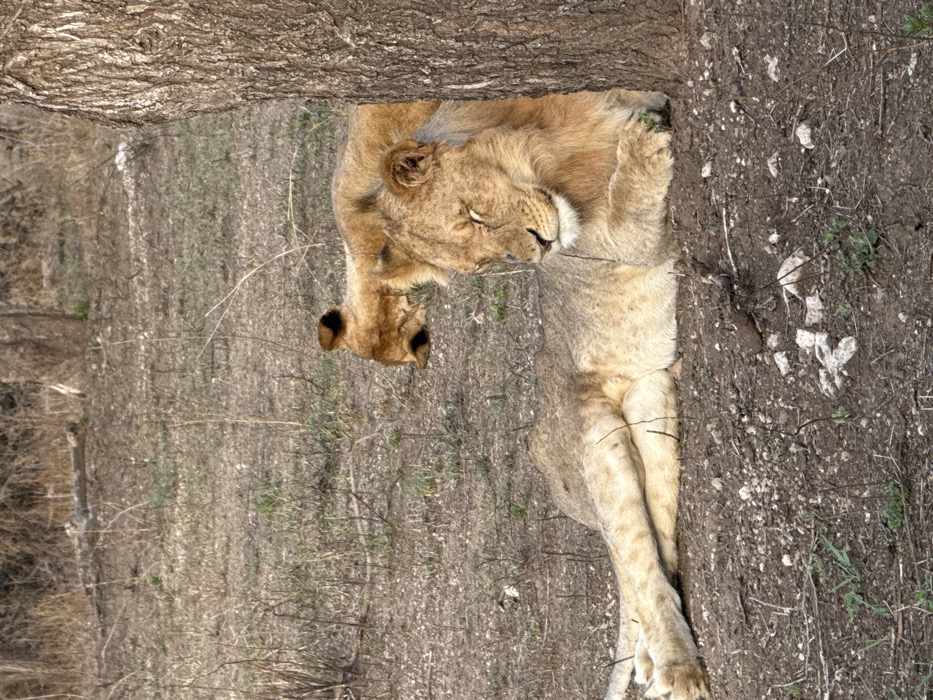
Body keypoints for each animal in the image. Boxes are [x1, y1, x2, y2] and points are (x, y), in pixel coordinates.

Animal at [318, 91, 710, 700]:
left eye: (473, 215)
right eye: (484, 258)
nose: (541, 250)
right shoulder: (631, 242)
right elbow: (632, 208)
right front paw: (646, 143)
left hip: (652, 397)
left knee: (654, 547)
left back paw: (652, 663)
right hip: (598, 442)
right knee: (635, 558)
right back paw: (675, 669)